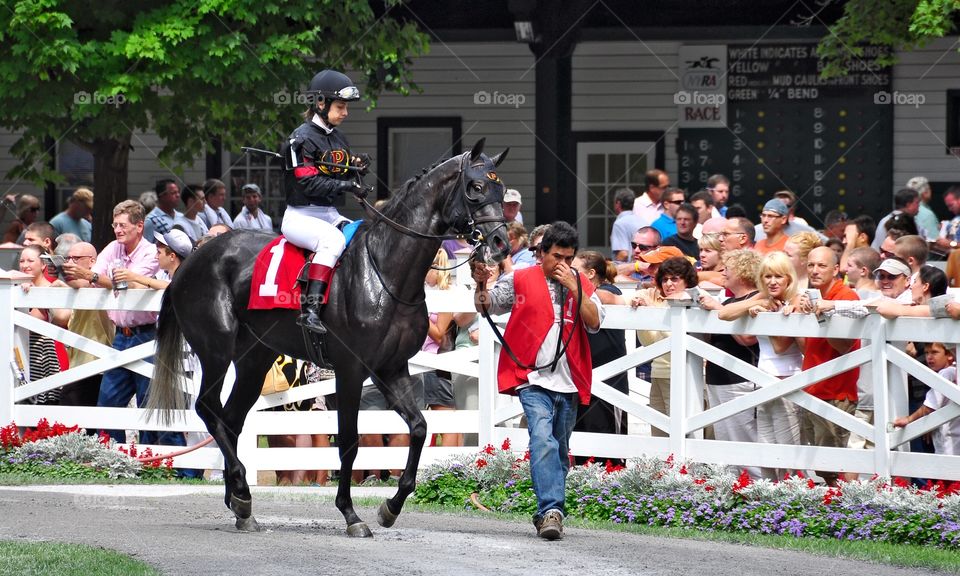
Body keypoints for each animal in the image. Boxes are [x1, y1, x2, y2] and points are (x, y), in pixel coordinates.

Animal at [148, 138, 510, 536]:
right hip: (216, 351)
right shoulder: (351, 369)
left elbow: (418, 428)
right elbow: (350, 441)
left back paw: (240, 501)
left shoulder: (391, 368)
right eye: (475, 187)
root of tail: (191, 261)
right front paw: (351, 514)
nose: (500, 243)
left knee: (229, 419)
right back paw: (241, 492)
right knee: (207, 408)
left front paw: (391, 507)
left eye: (501, 189)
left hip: (254, 360)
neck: (385, 271)